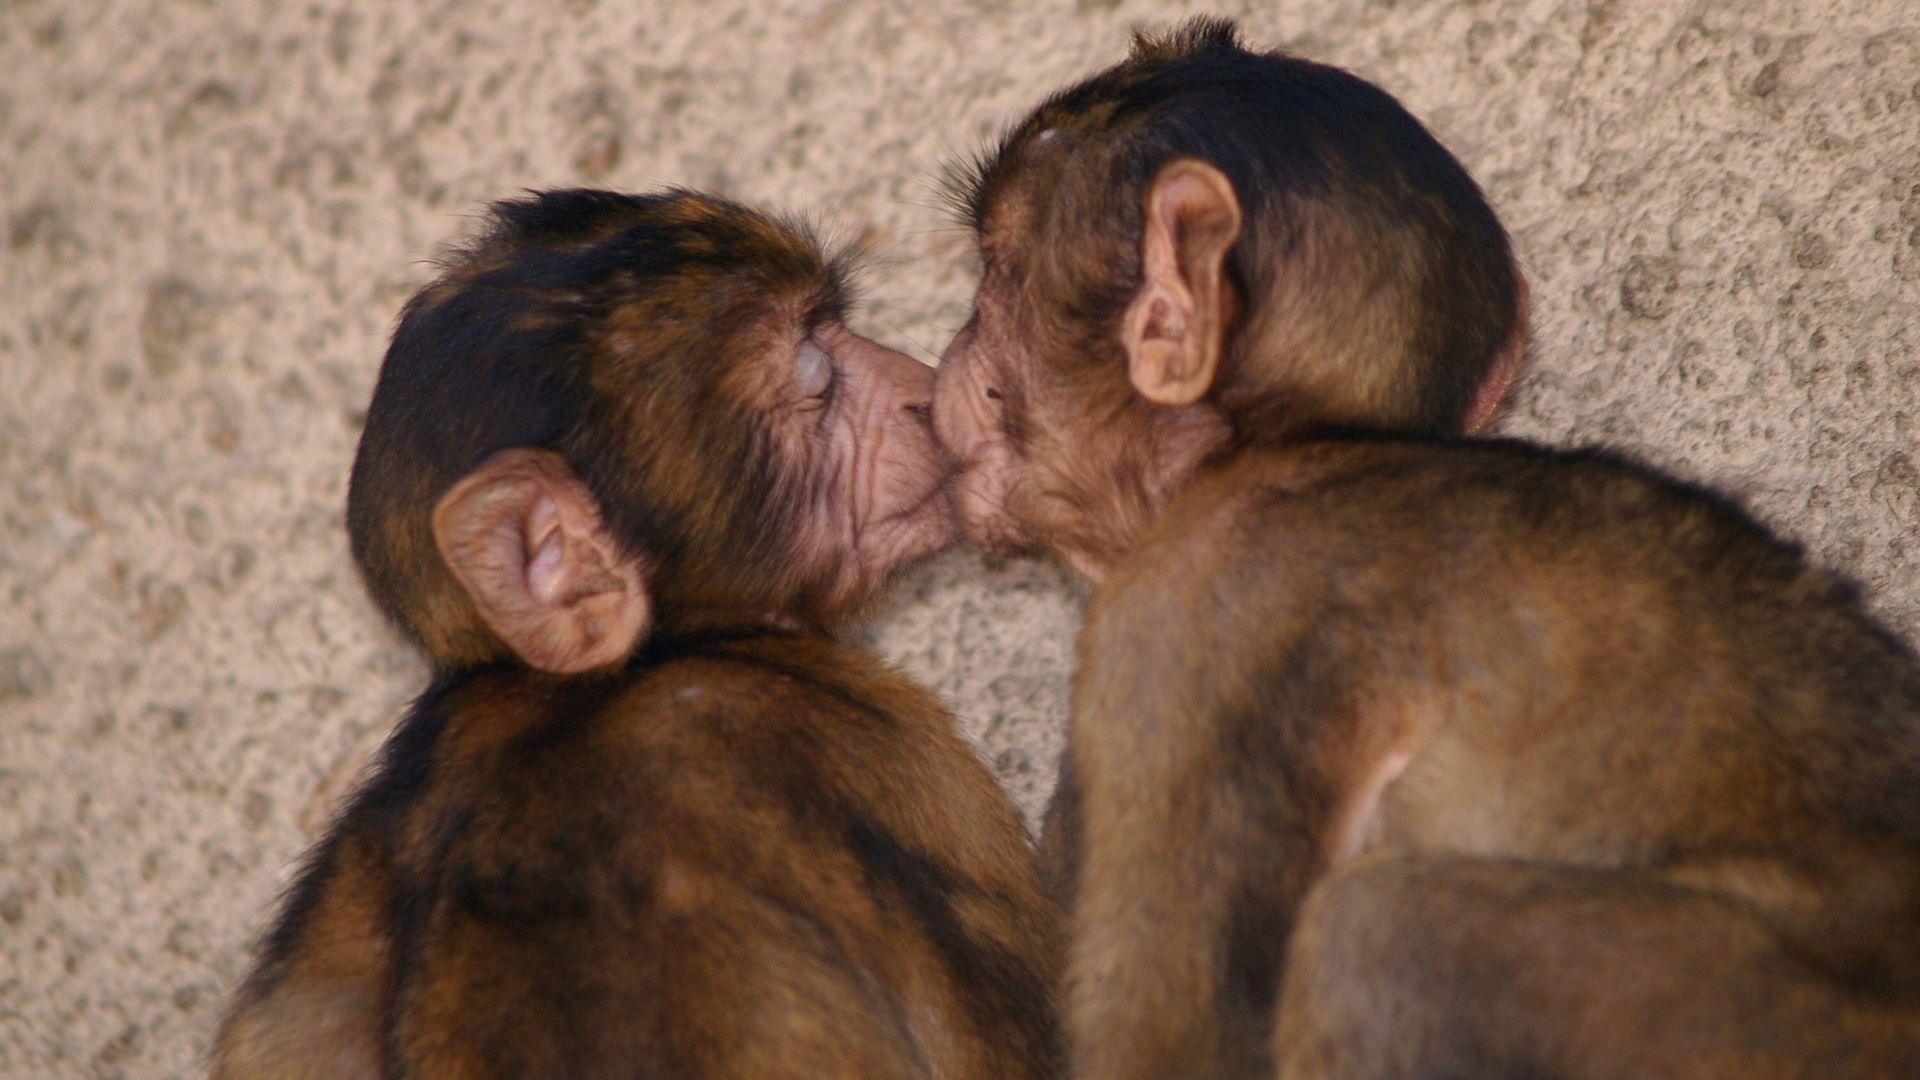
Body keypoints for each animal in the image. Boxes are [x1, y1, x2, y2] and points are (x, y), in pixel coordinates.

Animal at [933, 18, 1920, 1079]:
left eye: (994, 280)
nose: (952, 355)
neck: (1300, 444)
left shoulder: (1195, 601)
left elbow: (1189, 1047)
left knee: (1378, 933)